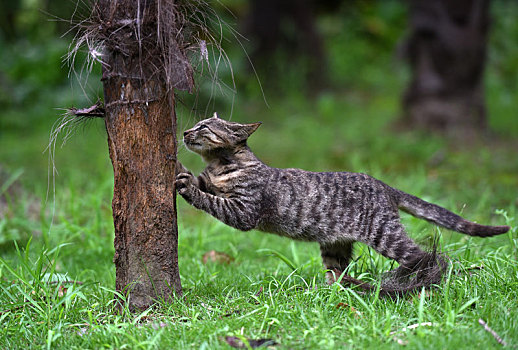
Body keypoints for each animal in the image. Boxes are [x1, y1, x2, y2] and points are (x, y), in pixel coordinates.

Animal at [176, 115, 512, 296]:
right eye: (196, 124)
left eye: (204, 128)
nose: (184, 131)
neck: (221, 164)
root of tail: (383, 185)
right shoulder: (214, 182)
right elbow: (205, 184)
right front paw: (182, 171)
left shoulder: (245, 212)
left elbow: (211, 200)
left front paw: (187, 186)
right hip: (335, 247)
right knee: (336, 273)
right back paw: (327, 291)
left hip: (385, 234)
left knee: (427, 256)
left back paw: (412, 283)